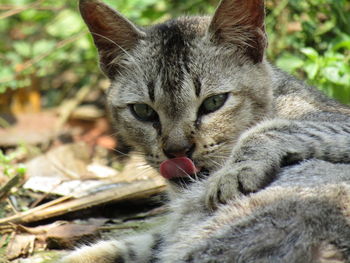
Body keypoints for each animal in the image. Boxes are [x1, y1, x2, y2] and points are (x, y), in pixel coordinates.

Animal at [60, 0, 350, 262]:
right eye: (142, 111)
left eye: (214, 102)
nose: (177, 151)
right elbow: (141, 244)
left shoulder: (337, 121)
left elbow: (268, 129)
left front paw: (235, 172)